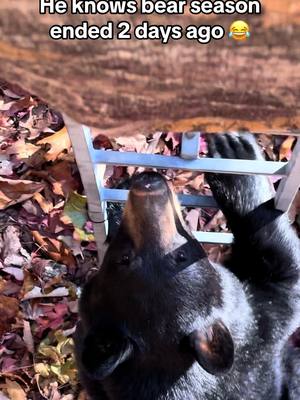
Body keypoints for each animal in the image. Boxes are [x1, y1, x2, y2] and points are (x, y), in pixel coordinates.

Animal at [73, 135, 300, 400]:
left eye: (181, 255)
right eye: (125, 257)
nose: (148, 187)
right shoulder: (263, 327)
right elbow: (283, 265)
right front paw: (234, 153)